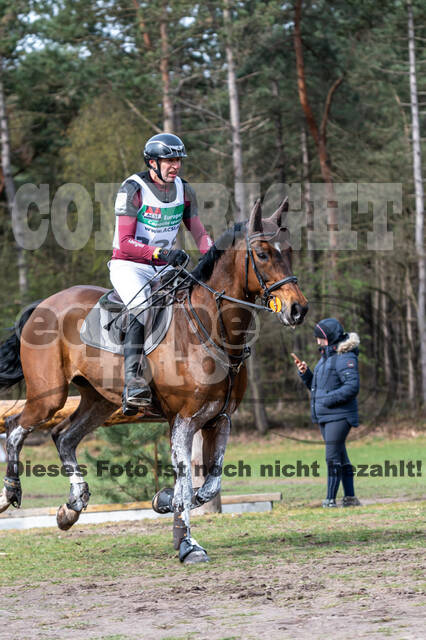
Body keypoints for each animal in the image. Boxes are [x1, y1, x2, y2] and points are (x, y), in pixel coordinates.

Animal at [0, 198, 308, 564]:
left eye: (289, 251)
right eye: (262, 253)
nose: (298, 309)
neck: (211, 330)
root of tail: (42, 305)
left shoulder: (220, 419)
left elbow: (210, 484)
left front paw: (163, 501)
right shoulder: (183, 420)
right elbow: (187, 481)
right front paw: (188, 544)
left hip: (98, 400)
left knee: (63, 436)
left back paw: (71, 507)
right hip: (50, 396)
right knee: (17, 426)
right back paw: (11, 490)